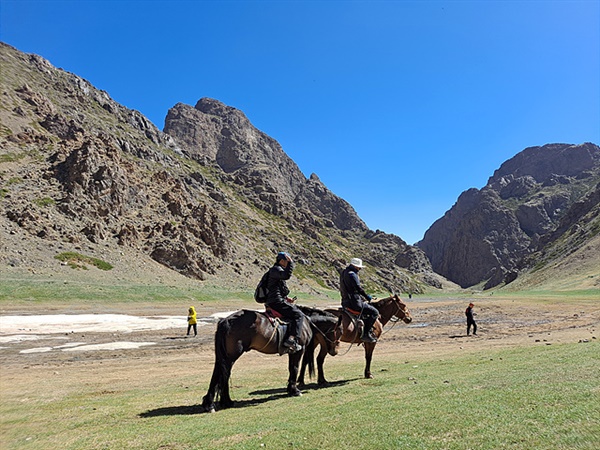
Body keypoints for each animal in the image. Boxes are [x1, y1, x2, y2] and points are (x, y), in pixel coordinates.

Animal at [202, 306, 340, 412]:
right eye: (339, 331)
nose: (334, 351)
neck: (307, 322)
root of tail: (225, 321)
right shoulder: (299, 350)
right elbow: (295, 368)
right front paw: (295, 391)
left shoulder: (292, 352)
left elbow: (291, 369)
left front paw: (290, 389)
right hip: (231, 356)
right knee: (223, 374)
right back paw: (216, 403)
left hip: (225, 356)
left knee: (220, 373)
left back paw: (220, 402)